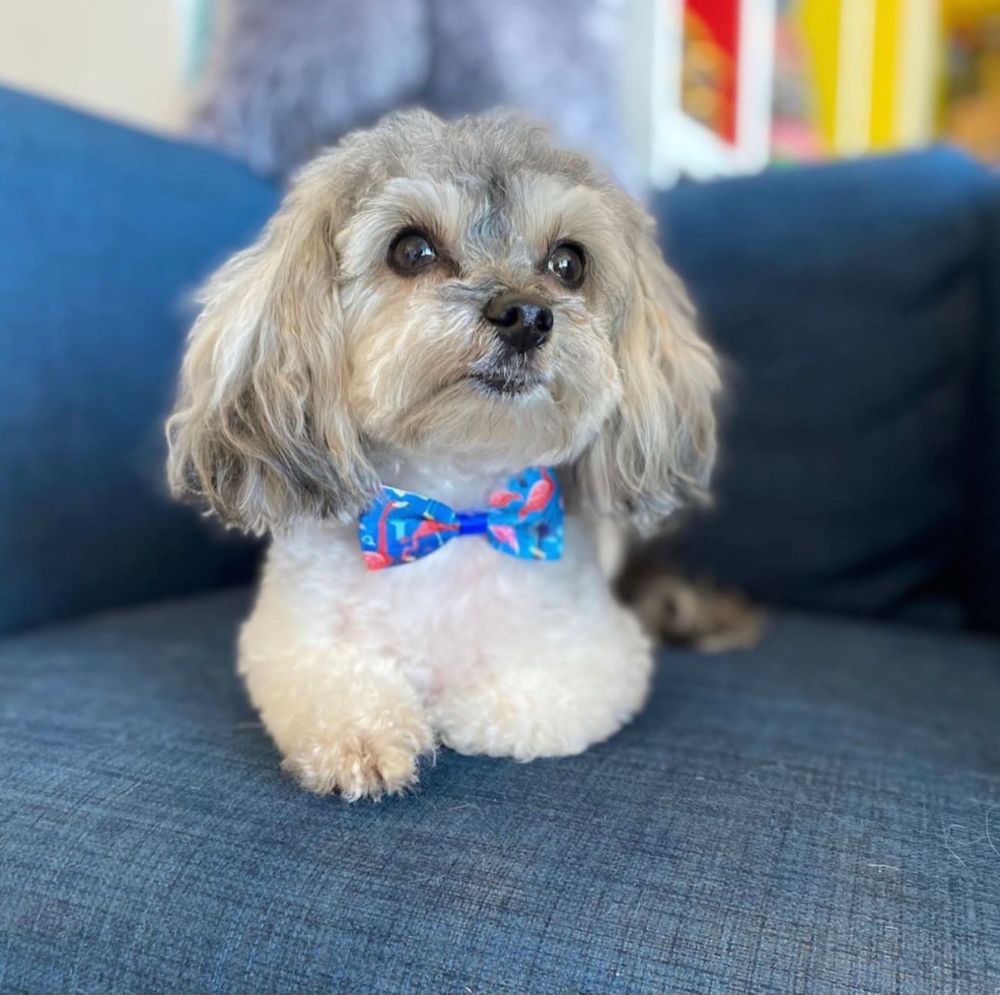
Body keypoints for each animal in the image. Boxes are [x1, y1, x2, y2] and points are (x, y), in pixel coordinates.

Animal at [167, 110, 720, 800]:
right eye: (411, 250)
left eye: (569, 263)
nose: (526, 315)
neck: (454, 508)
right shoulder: (290, 641)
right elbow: (337, 690)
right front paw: (365, 739)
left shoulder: (600, 653)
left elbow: (514, 707)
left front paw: (456, 715)